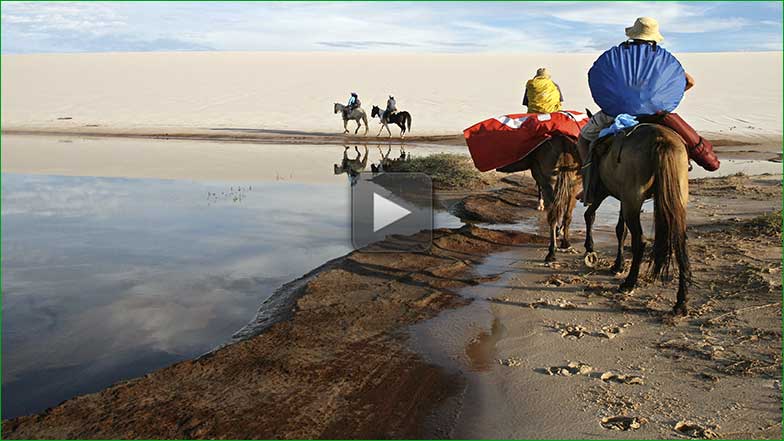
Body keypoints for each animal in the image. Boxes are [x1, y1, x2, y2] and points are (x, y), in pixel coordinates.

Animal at [580, 124, 692, 314]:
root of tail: (661, 139)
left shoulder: (605, 192)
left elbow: (590, 215)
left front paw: (590, 248)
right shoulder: (622, 199)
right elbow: (620, 230)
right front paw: (618, 265)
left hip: (632, 201)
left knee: (640, 241)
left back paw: (629, 283)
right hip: (675, 201)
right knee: (679, 241)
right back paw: (681, 302)